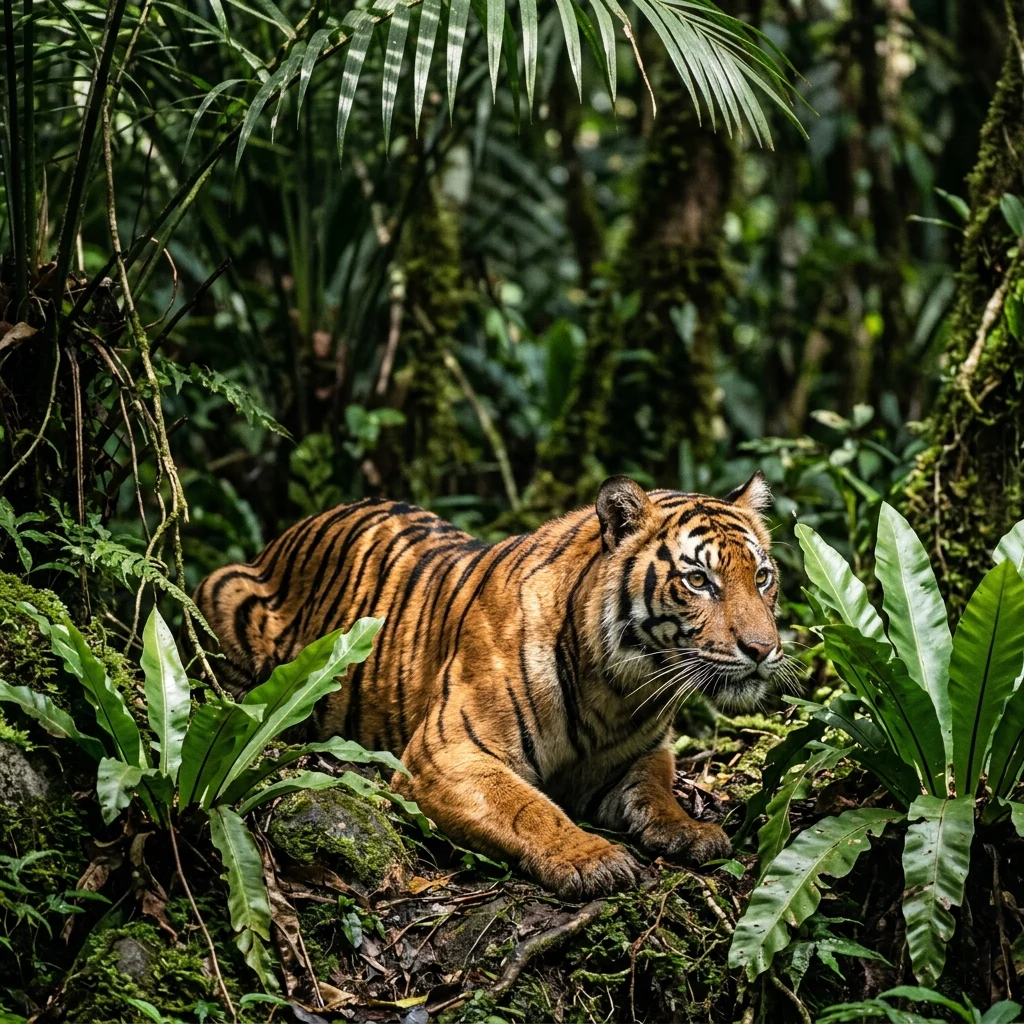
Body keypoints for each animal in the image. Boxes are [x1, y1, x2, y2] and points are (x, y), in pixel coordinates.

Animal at [194, 472, 786, 899]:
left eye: (762, 577)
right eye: (698, 580)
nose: (762, 650)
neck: (618, 690)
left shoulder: (636, 756)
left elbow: (657, 792)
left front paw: (691, 830)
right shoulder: (448, 752)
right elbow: (528, 807)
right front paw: (592, 859)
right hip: (221, 592)